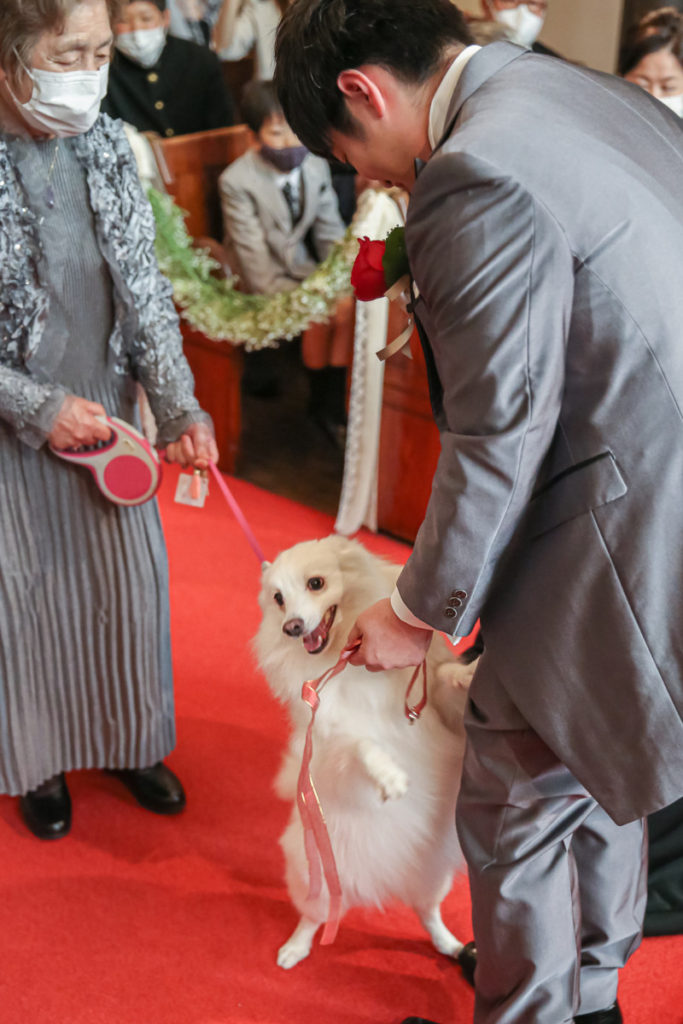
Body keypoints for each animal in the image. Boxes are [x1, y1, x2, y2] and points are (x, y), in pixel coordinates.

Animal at [252, 532, 475, 970]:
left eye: (316, 583)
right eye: (278, 599)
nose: (292, 627)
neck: (345, 657)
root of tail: (385, 880)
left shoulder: (443, 710)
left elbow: (446, 678)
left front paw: (469, 671)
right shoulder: (331, 742)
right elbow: (363, 745)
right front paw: (391, 779)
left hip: (434, 881)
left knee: (428, 913)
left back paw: (451, 945)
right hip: (318, 874)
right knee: (313, 918)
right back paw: (293, 950)